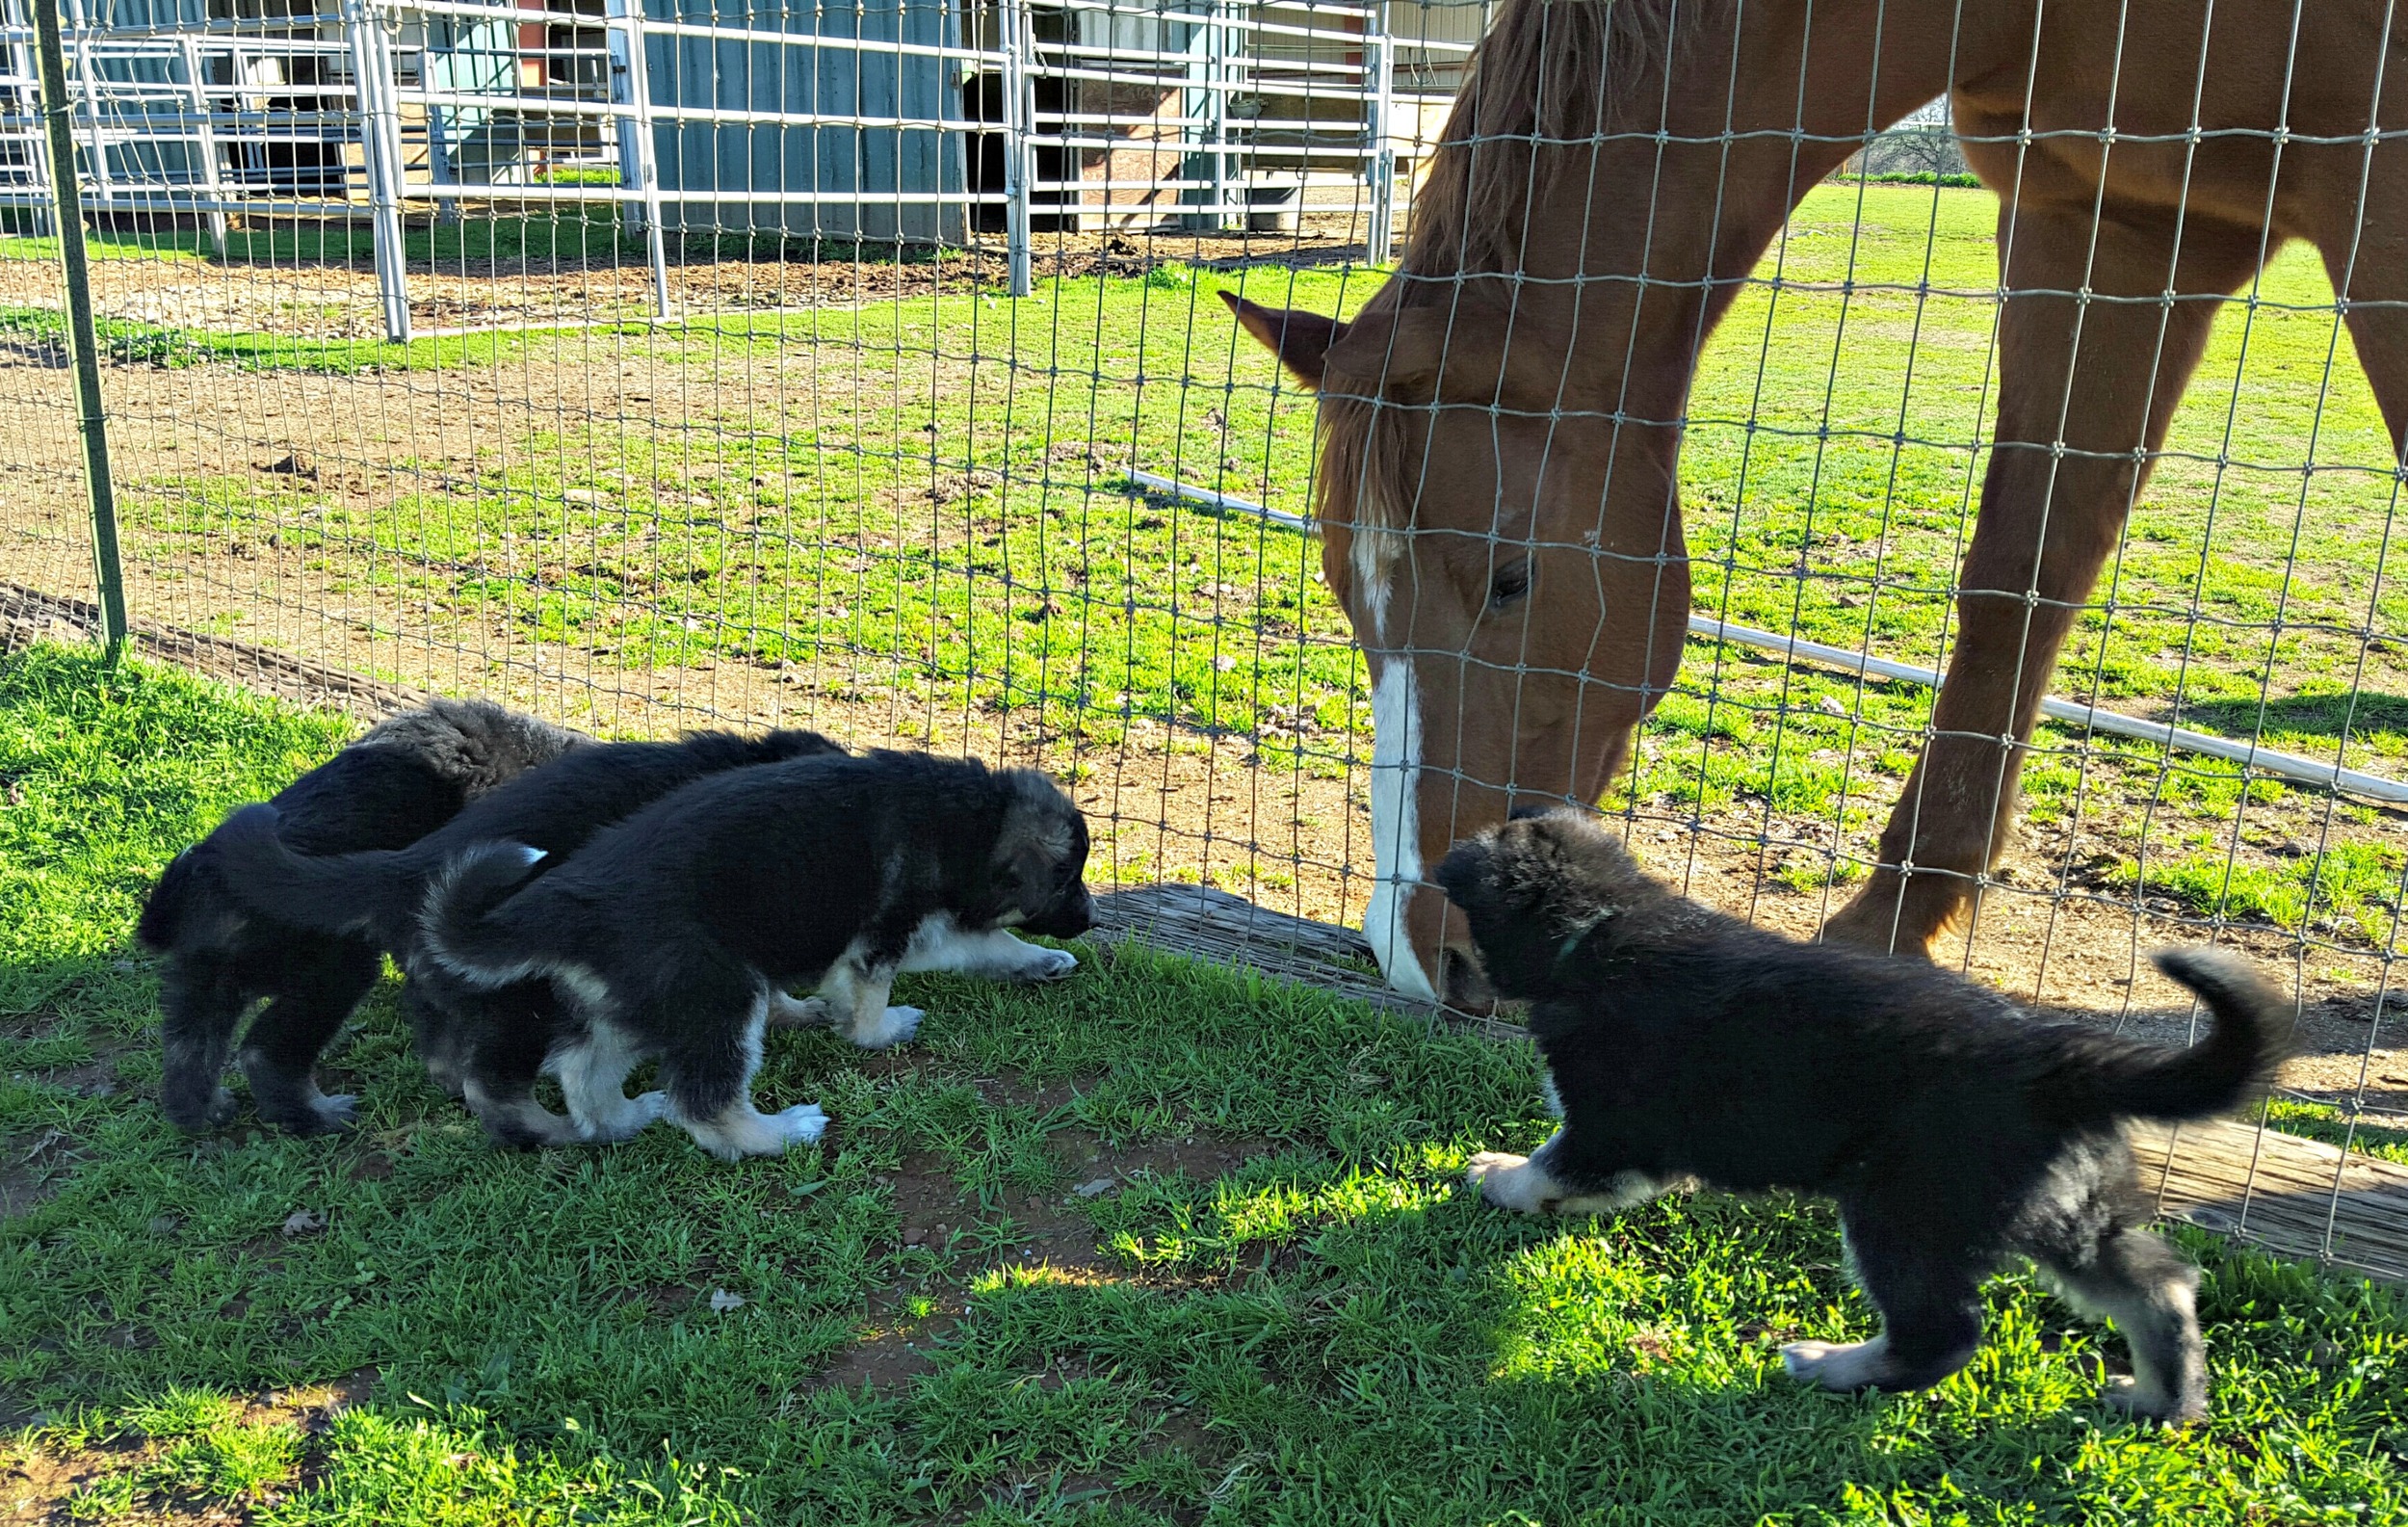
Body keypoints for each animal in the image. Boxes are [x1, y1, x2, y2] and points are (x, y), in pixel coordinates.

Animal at [143, 698, 589, 1132]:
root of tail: (203, 874)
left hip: (203, 980)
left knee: (191, 1044)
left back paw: (201, 1112)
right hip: (332, 968)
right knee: (264, 1051)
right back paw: (316, 1115)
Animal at [421, 747, 1093, 1151]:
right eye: (1066, 879)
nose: (1090, 920)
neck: (970, 819)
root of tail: (566, 903)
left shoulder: (916, 928)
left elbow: (990, 943)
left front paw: (1040, 964)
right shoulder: (885, 931)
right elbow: (873, 995)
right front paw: (879, 1031)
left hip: (638, 1001)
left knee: (583, 1072)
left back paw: (627, 1119)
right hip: (716, 992)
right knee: (704, 1105)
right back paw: (781, 1132)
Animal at [1233, 0, 2408, 1007]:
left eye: (1511, 580)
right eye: (1344, 590)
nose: (1417, 950)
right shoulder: (2108, 221)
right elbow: (2018, 580)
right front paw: (1889, 926)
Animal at [1435, 814, 2283, 1426]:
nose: (1444, 981)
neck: (1601, 924)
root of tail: (2052, 1055)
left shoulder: (1609, 1120)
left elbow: (1551, 1161)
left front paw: (1498, 1176)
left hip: (1902, 1207)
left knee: (1942, 1334)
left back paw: (1832, 1365)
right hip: (2045, 1202)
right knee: (2157, 1283)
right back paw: (2163, 1401)